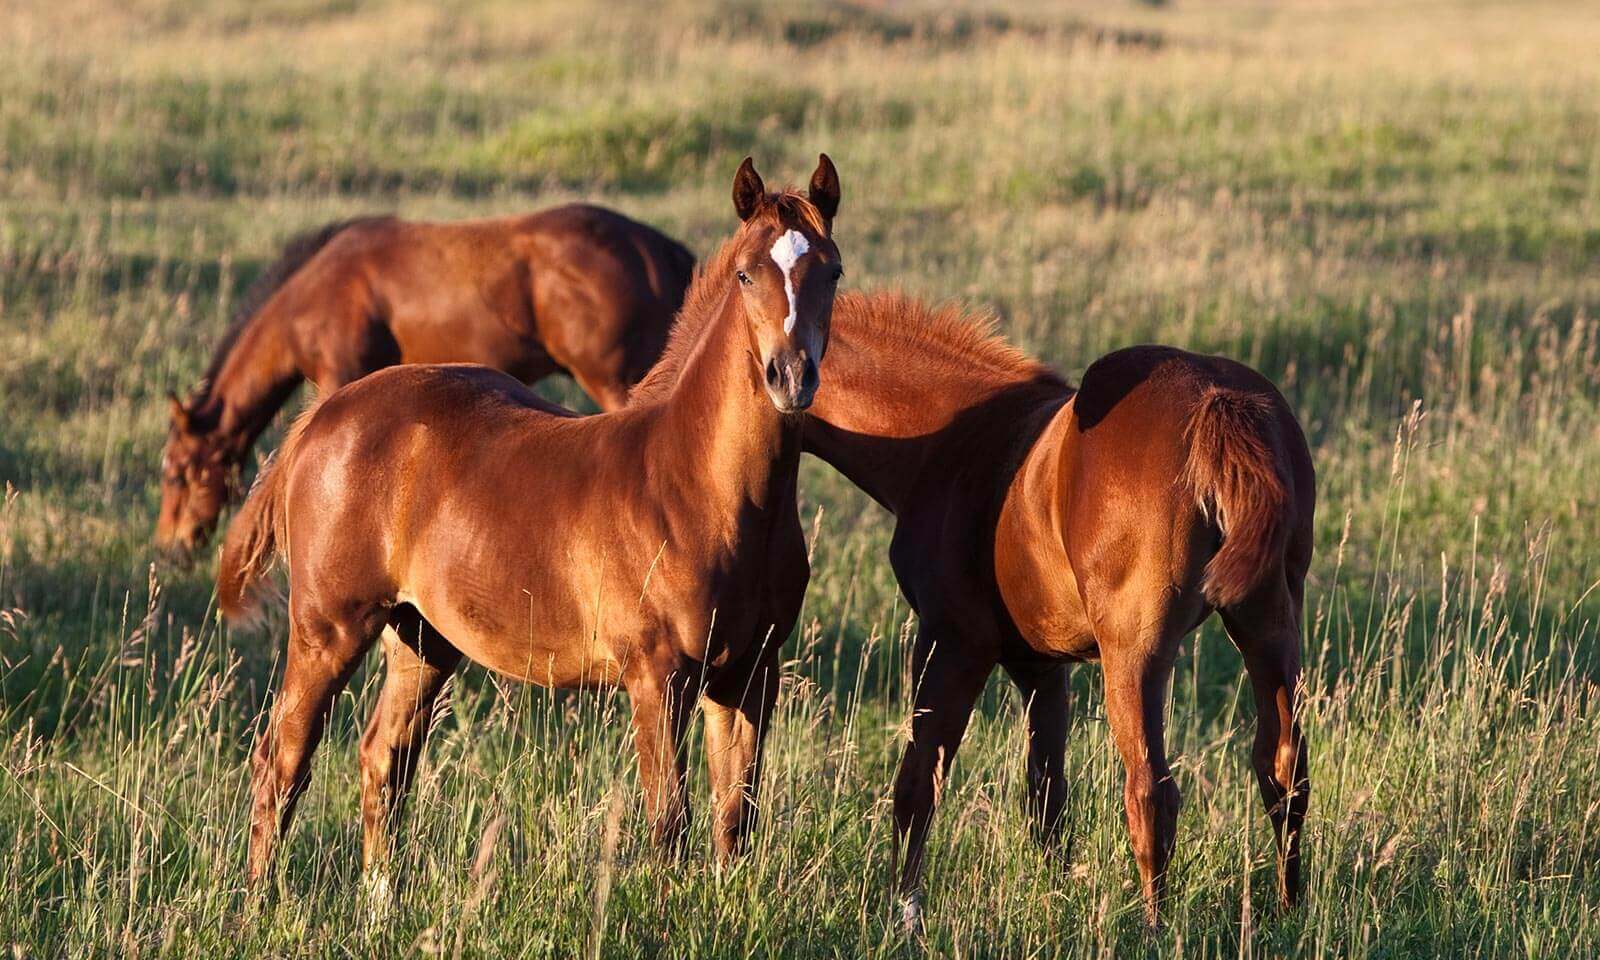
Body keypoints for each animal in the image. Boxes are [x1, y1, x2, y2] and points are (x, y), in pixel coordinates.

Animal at [222, 153, 851, 889]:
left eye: (833, 271)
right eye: (747, 273)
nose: (791, 378)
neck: (700, 490)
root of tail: (322, 418)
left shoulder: (751, 673)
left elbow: (736, 820)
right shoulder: (657, 676)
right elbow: (670, 822)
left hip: (422, 637)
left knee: (384, 759)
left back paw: (382, 901)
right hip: (328, 628)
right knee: (282, 760)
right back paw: (261, 900)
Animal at [800, 291, 1312, 921]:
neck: (950, 441)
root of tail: (1220, 407)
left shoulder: (953, 641)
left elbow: (917, 784)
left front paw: (905, 912)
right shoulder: (1039, 666)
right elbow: (1046, 797)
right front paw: (1054, 899)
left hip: (1134, 649)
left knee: (1151, 791)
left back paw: (1154, 926)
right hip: (1268, 622)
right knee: (1283, 766)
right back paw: (1290, 911)